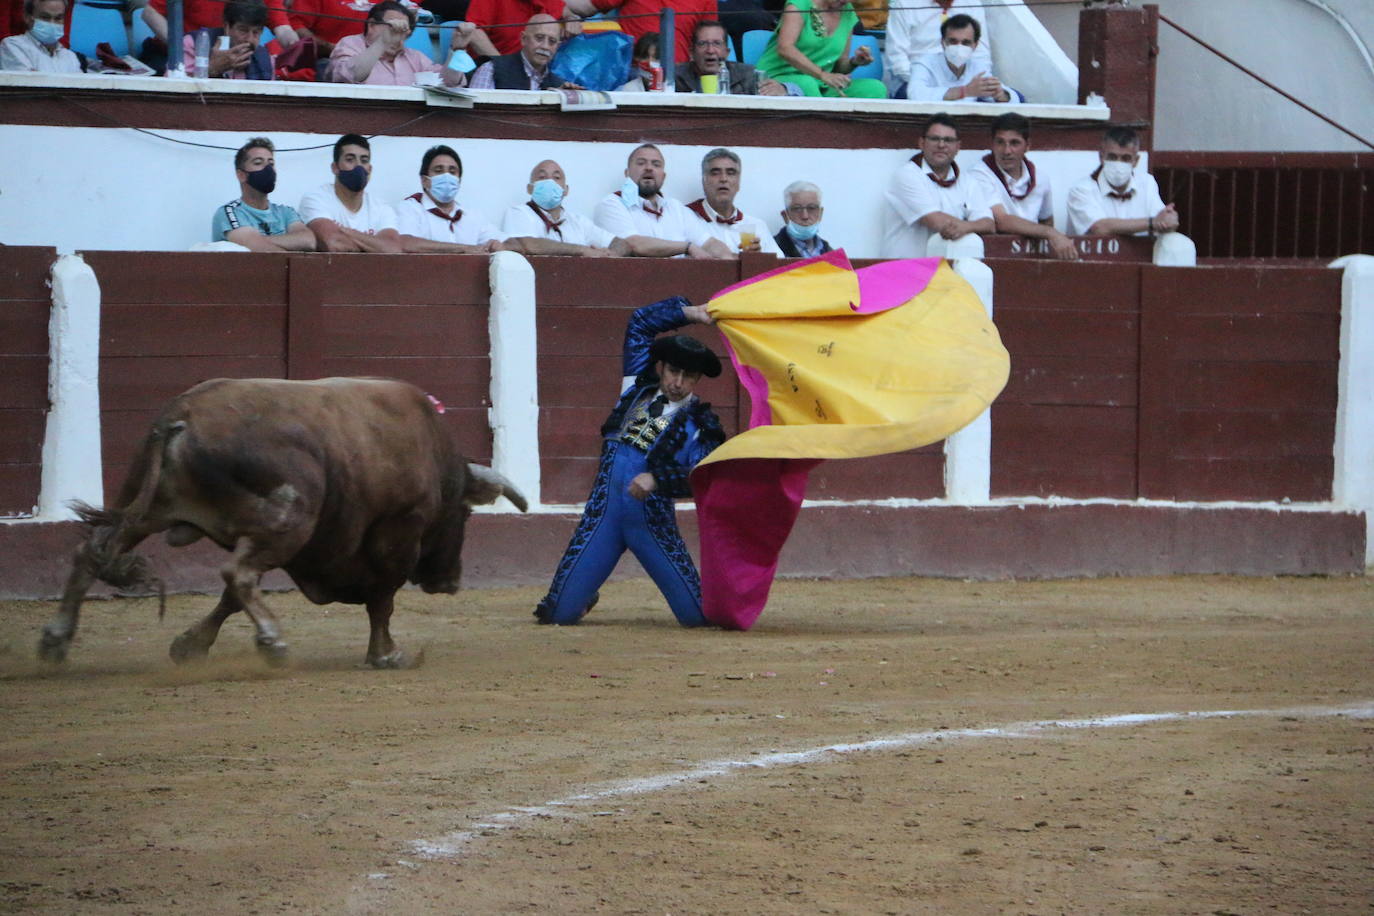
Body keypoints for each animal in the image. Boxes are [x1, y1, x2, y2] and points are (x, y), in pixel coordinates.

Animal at [38, 376, 524, 670]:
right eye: (465, 512)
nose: (450, 580)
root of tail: (182, 418)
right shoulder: (397, 533)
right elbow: (382, 601)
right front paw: (386, 655)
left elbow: (230, 601)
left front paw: (190, 646)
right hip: (290, 520)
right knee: (237, 573)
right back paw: (274, 643)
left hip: (146, 509)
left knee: (89, 553)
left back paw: (55, 641)